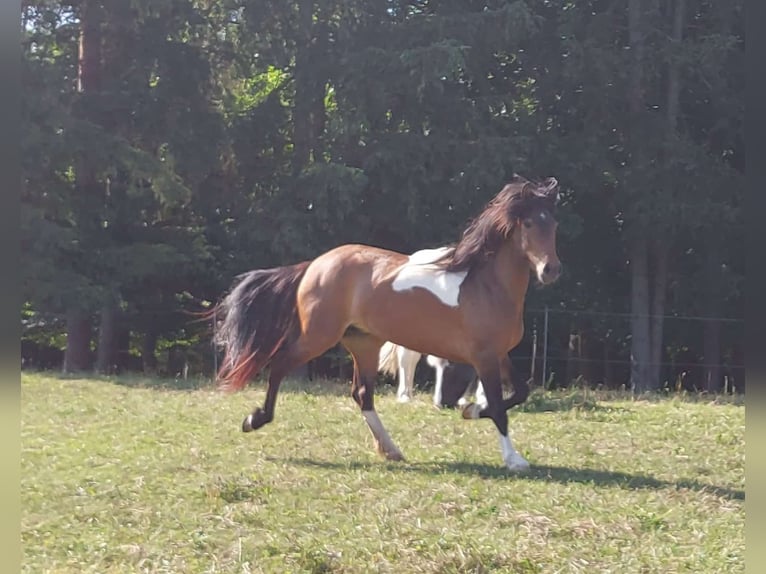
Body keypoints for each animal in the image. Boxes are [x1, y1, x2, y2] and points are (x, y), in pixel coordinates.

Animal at [213, 175, 562, 472]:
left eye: (554, 223)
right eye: (529, 222)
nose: (550, 271)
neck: (486, 286)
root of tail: (315, 265)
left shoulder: (498, 355)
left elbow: (520, 392)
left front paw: (471, 410)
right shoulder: (484, 357)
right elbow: (501, 408)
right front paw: (514, 459)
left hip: (363, 343)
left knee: (361, 394)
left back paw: (391, 450)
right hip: (318, 336)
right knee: (280, 365)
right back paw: (254, 419)